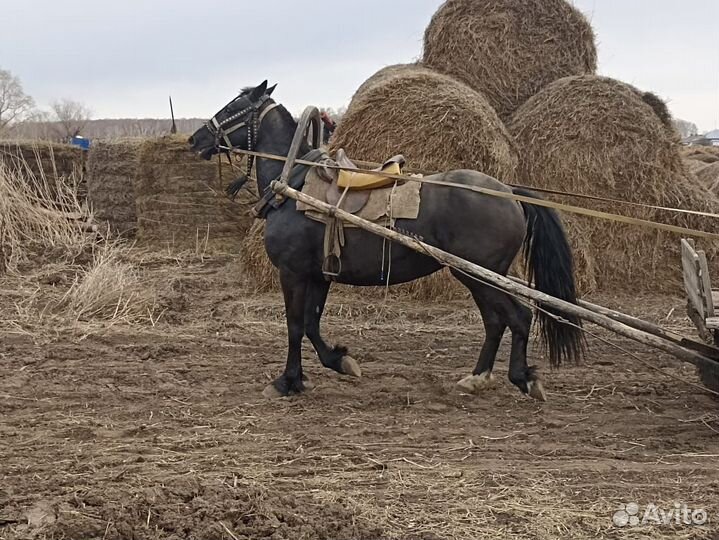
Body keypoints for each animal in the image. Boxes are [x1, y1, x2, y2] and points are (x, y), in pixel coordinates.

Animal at [188, 81, 584, 401]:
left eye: (231, 108)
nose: (195, 139)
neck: (296, 183)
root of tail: (507, 192)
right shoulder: (319, 274)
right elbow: (313, 324)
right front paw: (338, 361)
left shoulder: (293, 273)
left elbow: (296, 325)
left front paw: (287, 380)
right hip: (479, 275)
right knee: (496, 321)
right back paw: (478, 377)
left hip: (479, 274)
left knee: (518, 317)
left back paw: (521, 378)